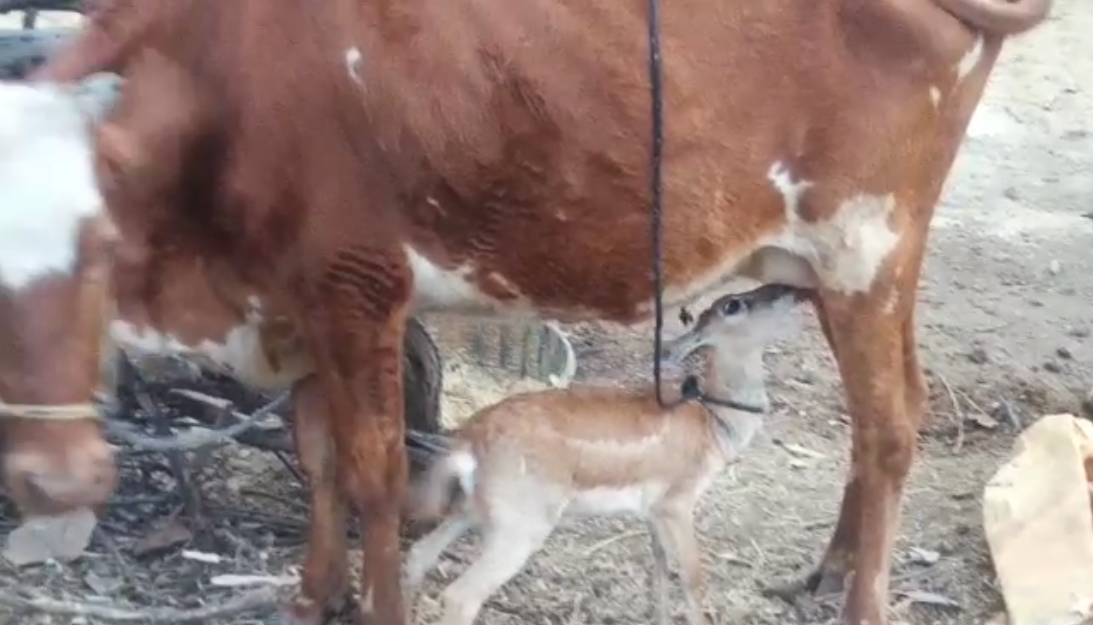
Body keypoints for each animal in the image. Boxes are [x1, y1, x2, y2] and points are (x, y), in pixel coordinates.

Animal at [402, 283, 807, 625]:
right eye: (734, 304)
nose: (790, 289)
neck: (714, 426)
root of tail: (470, 441)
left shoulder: (652, 511)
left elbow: (661, 570)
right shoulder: (677, 502)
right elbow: (693, 579)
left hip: (471, 509)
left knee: (417, 556)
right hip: (521, 525)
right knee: (460, 595)